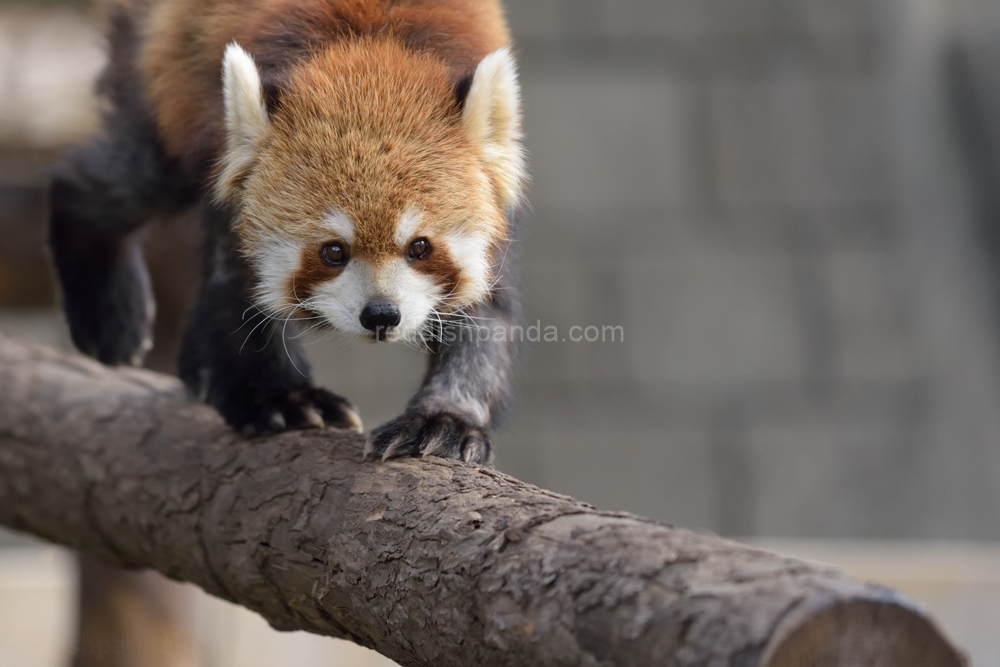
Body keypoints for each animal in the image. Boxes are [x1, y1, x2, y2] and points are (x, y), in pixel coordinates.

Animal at [50, 0, 528, 464]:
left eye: (420, 247)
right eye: (333, 251)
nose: (380, 314)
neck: (368, 50)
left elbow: (485, 315)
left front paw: (445, 419)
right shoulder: (236, 179)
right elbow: (240, 290)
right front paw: (281, 398)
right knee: (128, 179)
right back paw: (106, 310)